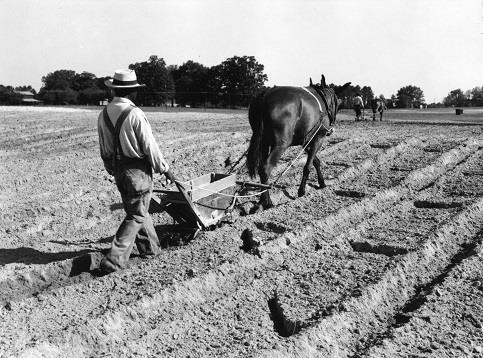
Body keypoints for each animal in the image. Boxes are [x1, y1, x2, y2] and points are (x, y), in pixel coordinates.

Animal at [248, 76, 350, 210]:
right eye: (337, 103)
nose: (331, 129)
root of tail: (265, 95)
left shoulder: (305, 140)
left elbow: (315, 162)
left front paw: (322, 183)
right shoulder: (318, 137)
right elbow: (308, 165)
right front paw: (302, 191)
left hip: (264, 142)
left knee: (261, 168)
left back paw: (261, 200)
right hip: (281, 144)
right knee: (265, 168)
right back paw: (268, 203)